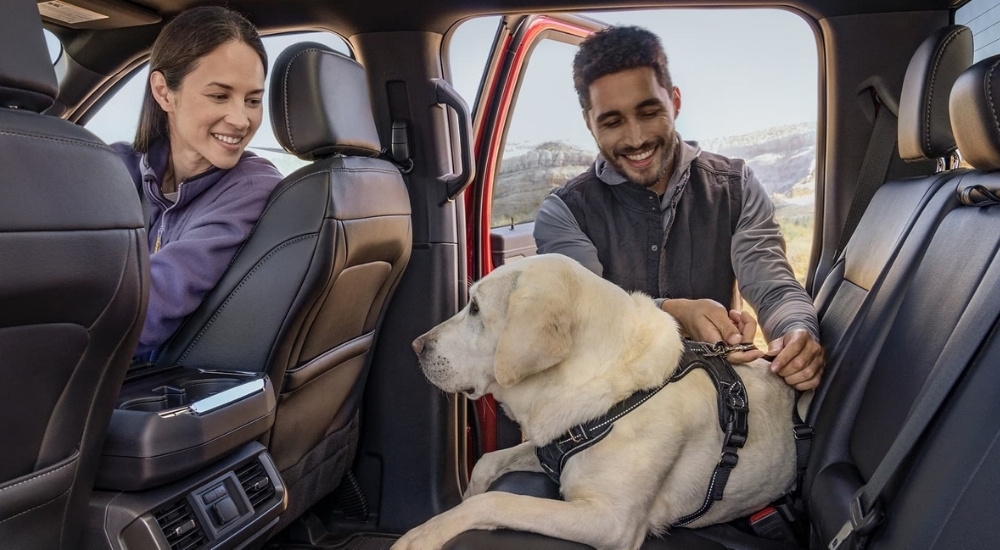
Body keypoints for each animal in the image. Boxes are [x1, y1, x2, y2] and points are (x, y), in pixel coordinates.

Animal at [394, 256, 800, 550]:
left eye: (476, 308)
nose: (415, 345)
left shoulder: (610, 522)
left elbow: (495, 502)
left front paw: (422, 535)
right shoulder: (554, 446)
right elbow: (486, 463)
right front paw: (462, 497)